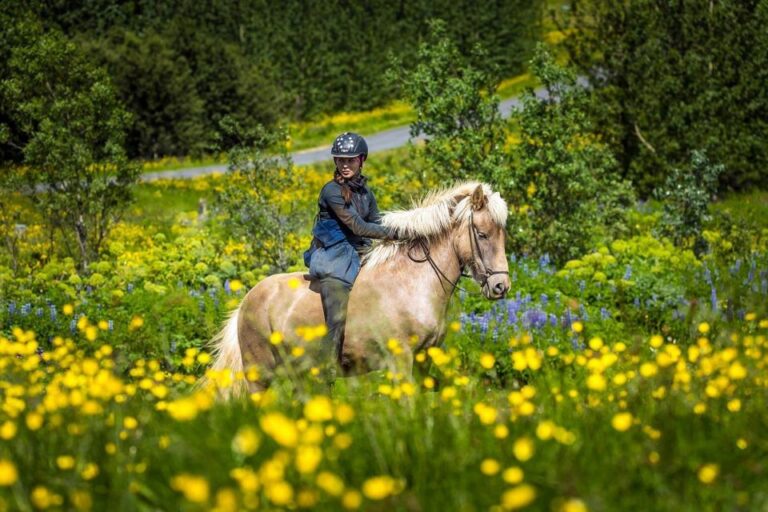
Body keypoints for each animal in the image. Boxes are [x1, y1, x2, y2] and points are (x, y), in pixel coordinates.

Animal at [207, 182, 512, 398]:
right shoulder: (400, 360)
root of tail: (246, 301)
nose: (500, 286)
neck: (413, 284)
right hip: (259, 375)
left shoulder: (425, 357)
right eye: (482, 234)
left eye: (502, 233)